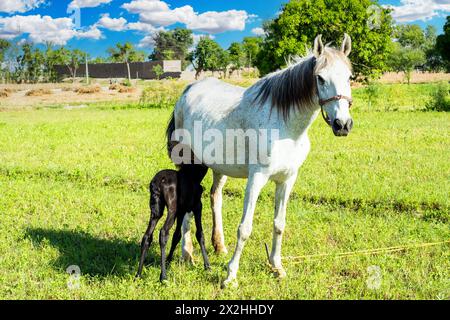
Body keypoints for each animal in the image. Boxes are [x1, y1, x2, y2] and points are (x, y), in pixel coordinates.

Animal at [167, 35, 354, 288]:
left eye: (349, 76)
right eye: (320, 78)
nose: (342, 124)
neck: (286, 127)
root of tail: (187, 91)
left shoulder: (287, 180)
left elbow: (279, 224)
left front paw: (276, 267)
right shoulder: (256, 178)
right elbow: (245, 228)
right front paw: (230, 276)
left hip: (217, 167)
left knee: (215, 197)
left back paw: (219, 246)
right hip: (191, 164)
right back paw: (187, 255)